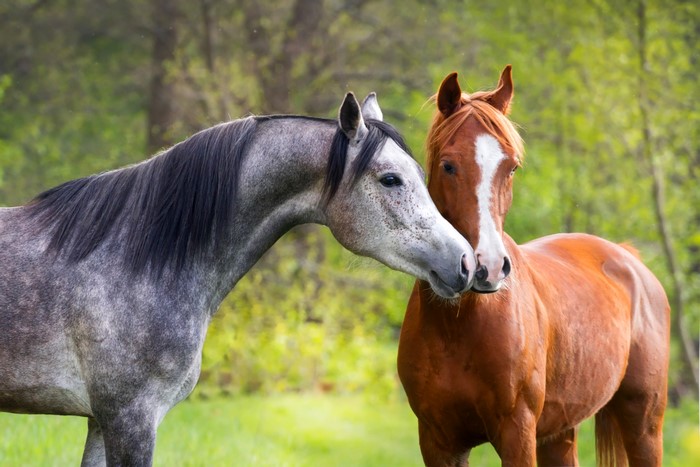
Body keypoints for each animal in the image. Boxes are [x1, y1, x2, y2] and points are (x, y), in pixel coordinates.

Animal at [397, 66, 670, 466]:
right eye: (448, 166)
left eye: (511, 168)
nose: (488, 268)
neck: (457, 326)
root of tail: (630, 260)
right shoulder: (438, 442)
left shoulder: (517, 434)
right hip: (559, 434)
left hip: (644, 427)